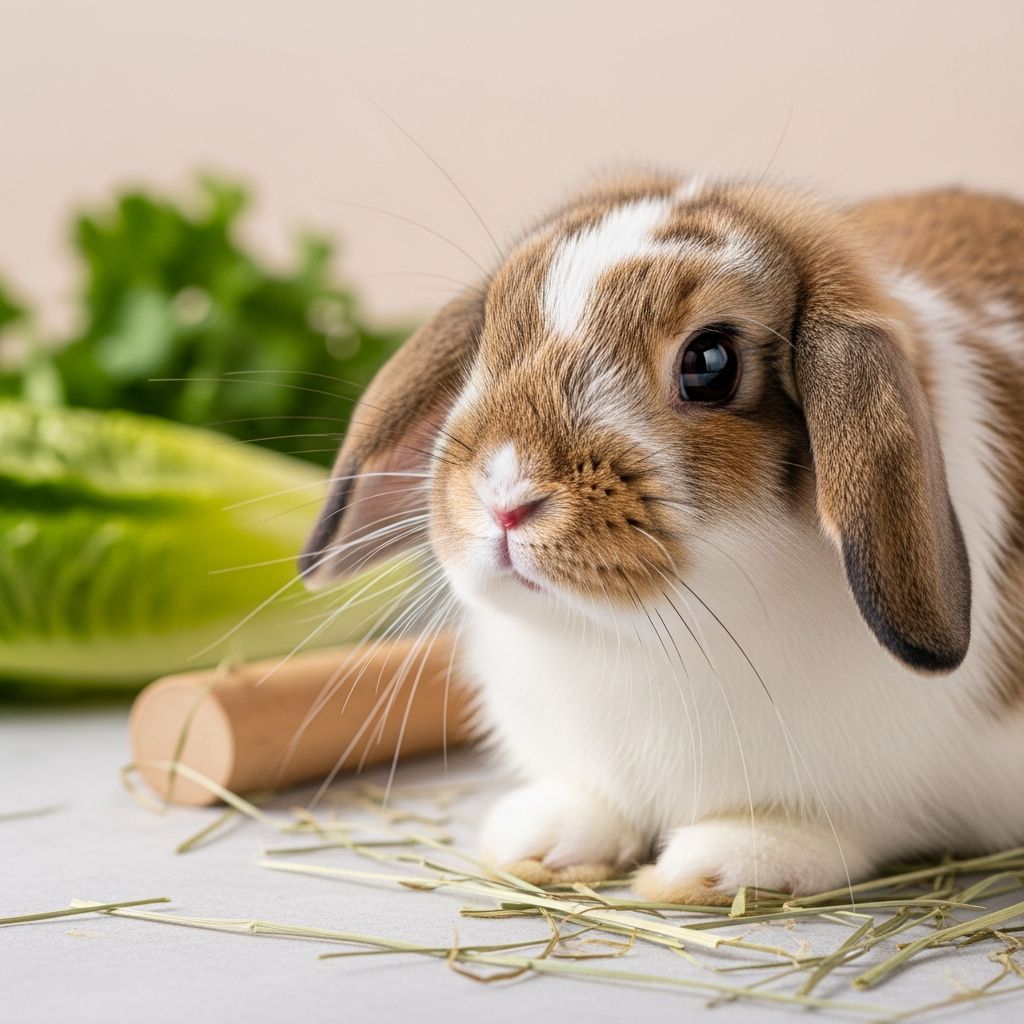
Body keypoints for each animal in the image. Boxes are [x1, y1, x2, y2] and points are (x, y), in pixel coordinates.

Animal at [301, 173, 1024, 903]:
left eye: (710, 362)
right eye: (488, 336)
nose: (505, 498)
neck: (627, 637)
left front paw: (714, 868)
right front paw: (542, 843)